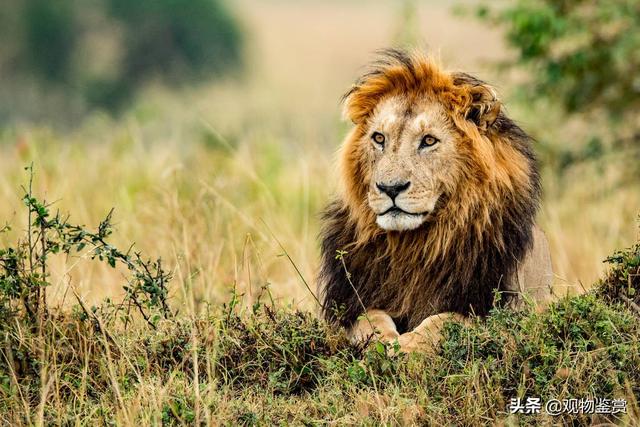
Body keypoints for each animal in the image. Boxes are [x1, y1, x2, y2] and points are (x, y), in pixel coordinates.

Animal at [318, 50, 552, 352]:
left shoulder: (495, 310)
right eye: (379, 138)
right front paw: (386, 343)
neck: (415, 245)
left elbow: (443, 321)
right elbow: (370, 318)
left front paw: (407, 346)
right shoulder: (350, 305)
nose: (390, 188)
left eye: (429, 141)